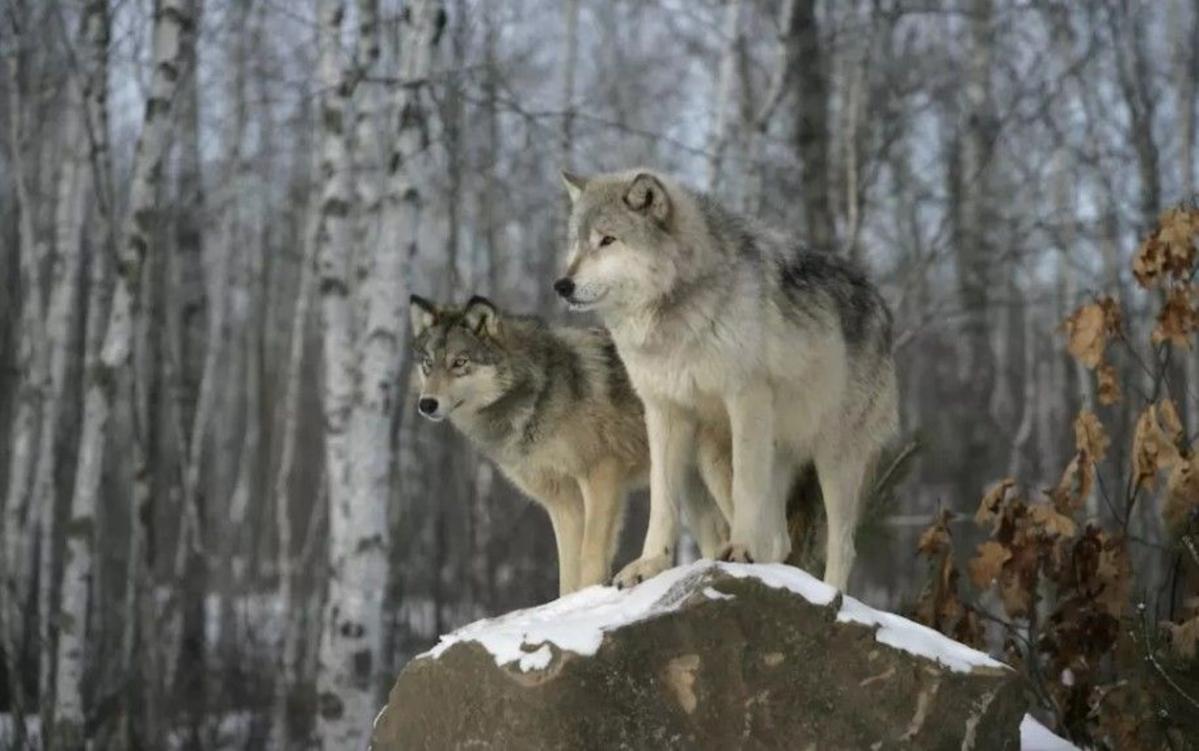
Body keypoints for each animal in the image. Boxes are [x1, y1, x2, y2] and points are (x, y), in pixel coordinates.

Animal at [409, 295, 730, 596]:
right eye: (428, 364)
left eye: (459, 363)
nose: (427, 404)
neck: (538, 394)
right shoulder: (563, 501)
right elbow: (567, 573)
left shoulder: (601, 473)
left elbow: (590, 555)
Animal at [554, 168, 898, 592]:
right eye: (576, 243)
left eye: (607, 240)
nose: (562, 285)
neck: (675, 316)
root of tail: (882, 303)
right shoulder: (663, 411)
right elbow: (662, 498)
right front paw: (650, 564)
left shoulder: (746, 397)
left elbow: (746, 487)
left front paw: (741, 549)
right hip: (719, 452)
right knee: (780, 538)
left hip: (834, 455)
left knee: (842, 546)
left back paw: (828, 591)